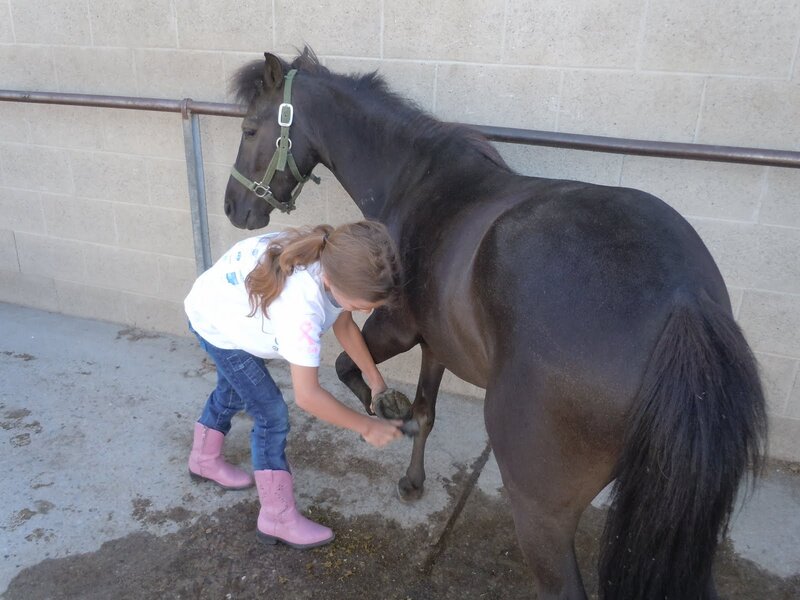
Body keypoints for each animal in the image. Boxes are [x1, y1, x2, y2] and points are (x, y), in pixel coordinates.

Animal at [222, 47, 767, 600]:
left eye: (249, 128)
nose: (233, 207)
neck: (418, 183)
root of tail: (683, 302)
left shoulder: (396, 326)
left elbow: (349, 370)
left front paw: (388, 412)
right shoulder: (437, 344)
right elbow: (427, 411)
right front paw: (413, 476)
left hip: (541, 512)